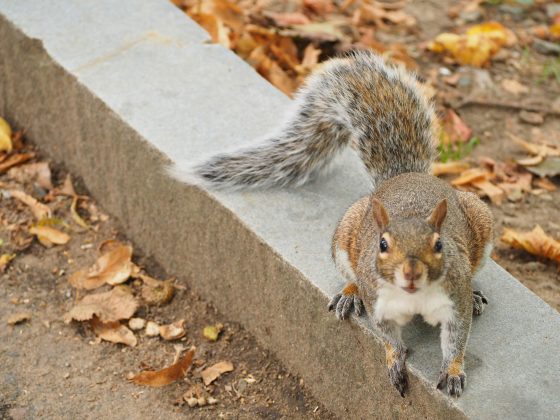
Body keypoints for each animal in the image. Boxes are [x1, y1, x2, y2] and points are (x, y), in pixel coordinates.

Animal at [170, 50, 490, 398]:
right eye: (382, 244)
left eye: (439, 244)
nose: (411, 273)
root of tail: (406, 177)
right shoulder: (378, 300)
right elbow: (388, 336)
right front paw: (394, 359)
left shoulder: (453, 300)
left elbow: (457, 339)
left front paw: (454, 371)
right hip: (345, 234)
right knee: (350, 272)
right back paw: (349, 294)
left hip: (480, 218)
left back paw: (476, 294)